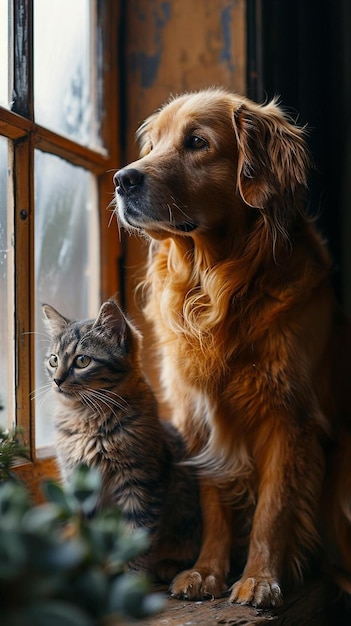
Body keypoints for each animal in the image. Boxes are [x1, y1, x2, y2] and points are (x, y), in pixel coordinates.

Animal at [42, 298, 202, 580]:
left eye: (82, 361)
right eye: (53, 360)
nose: (57, 380)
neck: (87, 420)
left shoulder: (140, 483)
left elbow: (136, 536)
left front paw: (130, 580)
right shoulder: (79, 483)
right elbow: (87, 533)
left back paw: (166, 566)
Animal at [113, 86, 351, 604]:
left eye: (197, 142)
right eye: (153, 145)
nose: (121, 180)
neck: (217, 286)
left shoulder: (290, 416)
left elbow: (273, 509)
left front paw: (260, 578)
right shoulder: (199, 415)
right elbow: (214, 504)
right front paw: (205, 572)